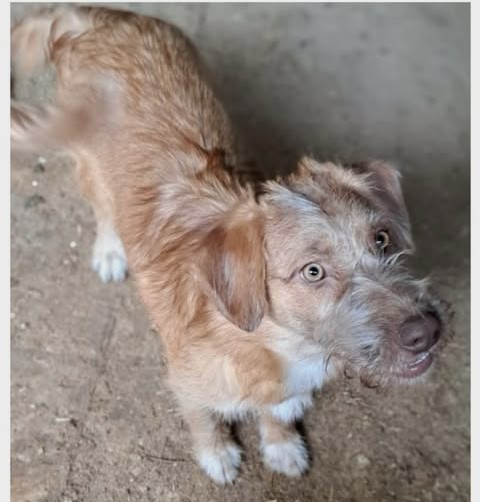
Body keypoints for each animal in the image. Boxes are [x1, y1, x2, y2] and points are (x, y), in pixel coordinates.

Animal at [11, 6, 450, 484]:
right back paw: (109, 252)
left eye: (382, 239)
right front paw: (217, 455)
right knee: (103, 209)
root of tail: (98, 18)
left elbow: (276, 414)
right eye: (313, 271)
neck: (275, 346)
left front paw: (281, 445)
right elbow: (203, 420)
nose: (427, 331)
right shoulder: (186, 385)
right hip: (88, 164)